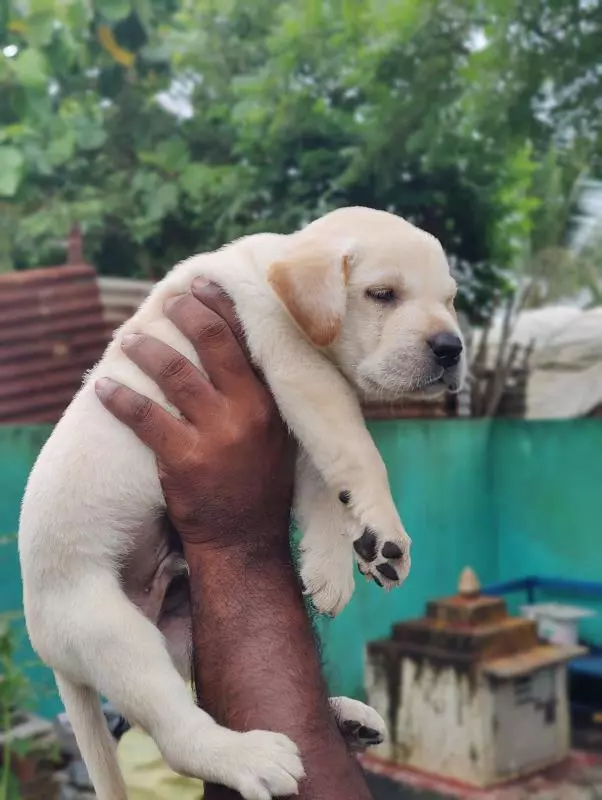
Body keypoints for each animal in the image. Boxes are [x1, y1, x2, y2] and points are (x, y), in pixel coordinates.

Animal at [17, 208, 460, 800]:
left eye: (450, 299)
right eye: (382, 294)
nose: (452, 348)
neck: (271, 268)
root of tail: (49, 646)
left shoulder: (299, 419)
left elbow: (326, 490)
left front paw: (334, 567)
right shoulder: (300, 369)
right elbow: (360, 454)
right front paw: (386, 532)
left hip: (179, 633)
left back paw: (343, 717)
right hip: (110, 632)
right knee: (173, 733)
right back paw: (248, 756)